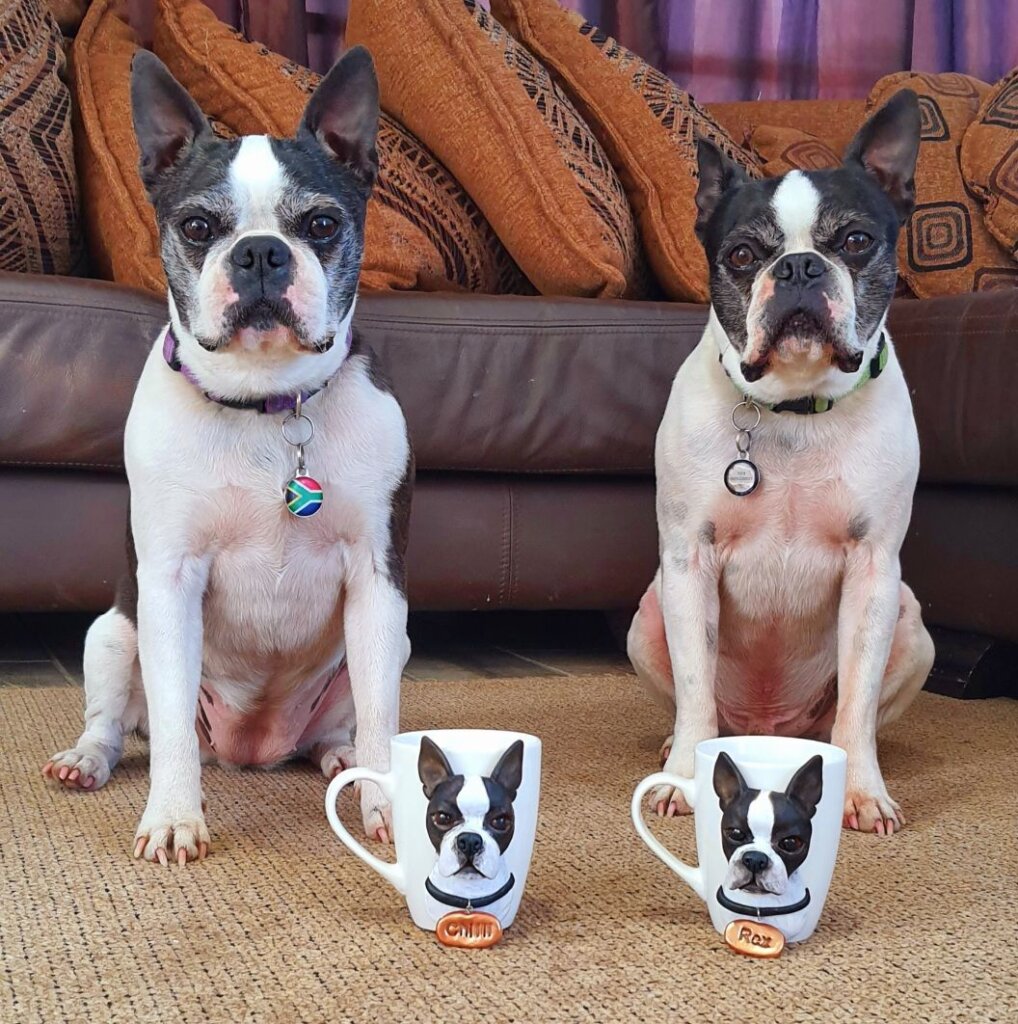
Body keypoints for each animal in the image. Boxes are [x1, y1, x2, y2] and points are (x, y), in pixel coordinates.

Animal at [42, 48, 413, 864]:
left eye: (322, 224)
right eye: (198, 226)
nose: (261, 252)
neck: (266, 406)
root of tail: (250, 750)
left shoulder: (377, 585)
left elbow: (381, 718)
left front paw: (385, 808)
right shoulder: (170, 581)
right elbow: (173, 724)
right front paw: (174, 818)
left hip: (384, 646)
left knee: (341, 729)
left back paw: (339, 760)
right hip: (112, 632)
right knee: (117, 723)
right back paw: (85, 760)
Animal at [628, 89, 935, 837]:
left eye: (855, 242)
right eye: (742, 254)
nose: (798, 268)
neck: (796, 409)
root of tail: (768, 730)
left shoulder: (875, 569)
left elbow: (858, 698)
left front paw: (863, 792)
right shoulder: (687, 562)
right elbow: (694, 687)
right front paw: (685, 779)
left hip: (912, 624)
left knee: (846, 716)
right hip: (648, 613)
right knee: (699, 707)